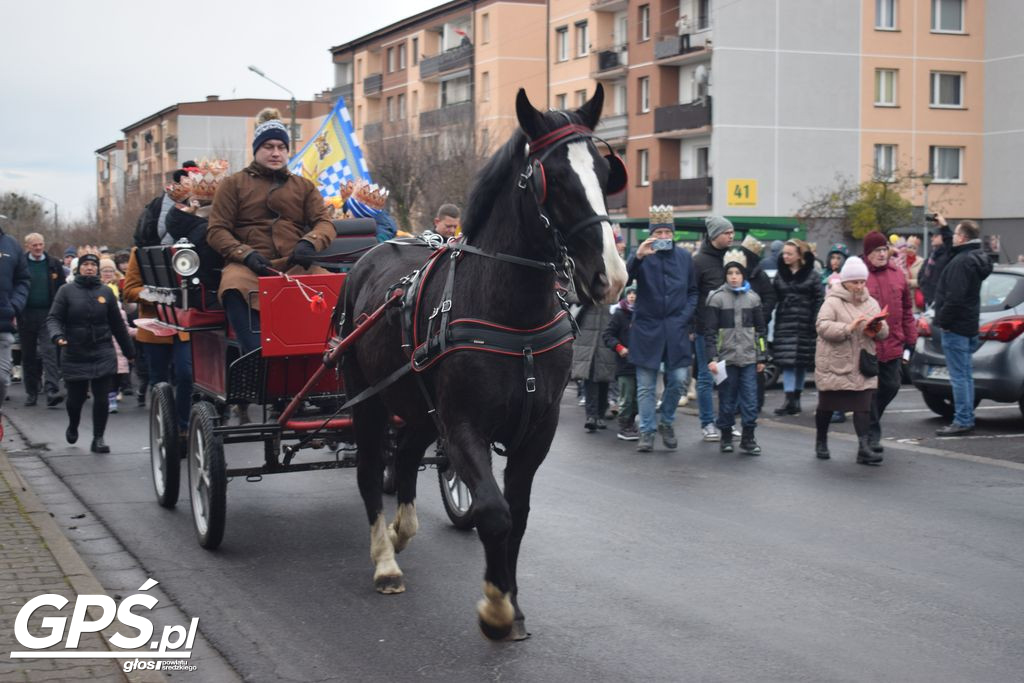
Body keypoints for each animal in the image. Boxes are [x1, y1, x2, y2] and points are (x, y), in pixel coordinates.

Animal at [342, 85, 622, 643]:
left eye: (606, 175)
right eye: (555, 179)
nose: (613, 276)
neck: (514, 320)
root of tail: (371, 253)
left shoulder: (537, 429)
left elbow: (519, 513)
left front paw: (511, 600)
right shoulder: (464, 425)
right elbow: (494, 512)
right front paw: (495, 608)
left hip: (420, 408)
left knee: (407, 456)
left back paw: (401, 531)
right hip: (370, 401)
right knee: (369, 473)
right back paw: (385, 561)